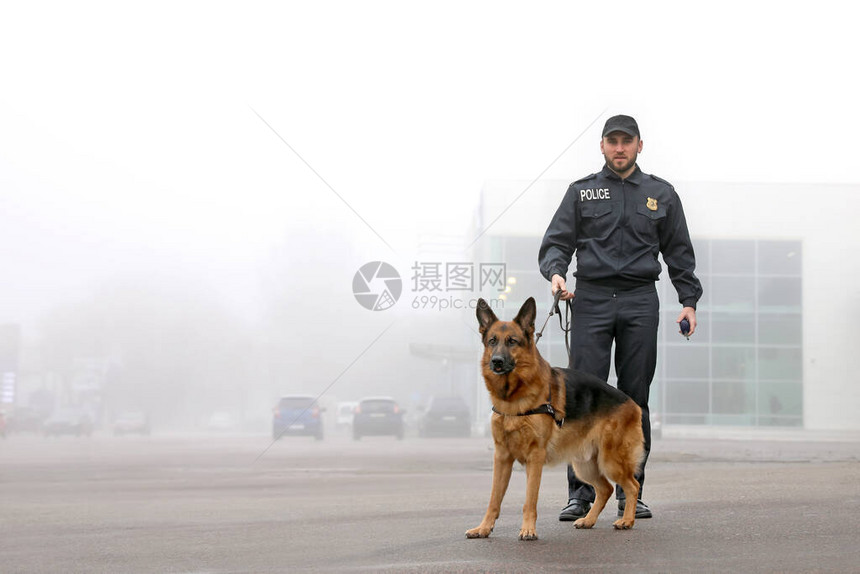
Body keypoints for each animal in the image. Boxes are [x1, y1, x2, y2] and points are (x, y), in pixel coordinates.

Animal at [466, 296, 640, 540]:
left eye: (512, 341)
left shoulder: (535, 457)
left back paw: (627, 520)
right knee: (605, 489)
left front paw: (528, 530)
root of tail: (632, 403)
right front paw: (483, 528)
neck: (514, 397)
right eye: (492, 341)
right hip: (585, 465)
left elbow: (530, 499)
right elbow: (494, 499)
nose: (497, 362)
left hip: (610, 461)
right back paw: (588, 520)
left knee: (632, 486)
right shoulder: (501, 457)